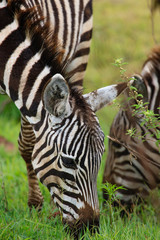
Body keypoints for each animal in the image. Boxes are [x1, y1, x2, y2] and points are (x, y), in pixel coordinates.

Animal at [0, 0, 127, 233]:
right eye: (68, 162)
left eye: (100, 159)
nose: (90, 229)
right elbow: (28, 145)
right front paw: (36, 205)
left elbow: (28, 144)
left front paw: (39, 207)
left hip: (81, 47)